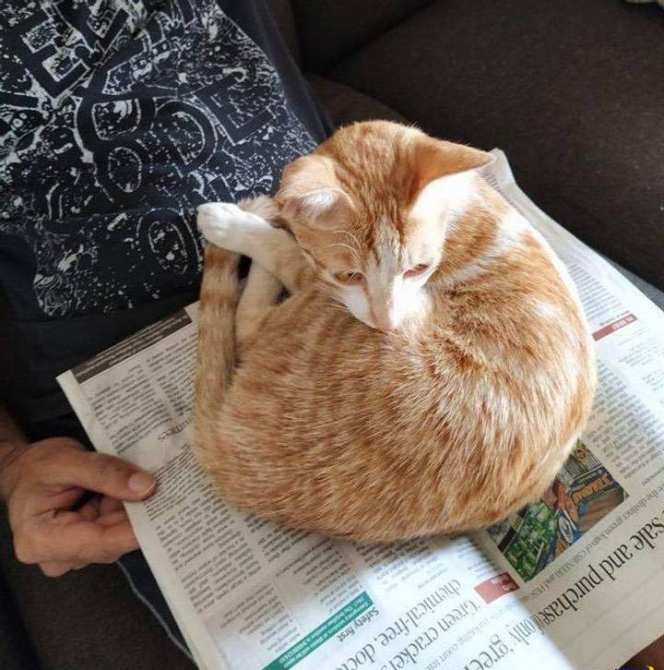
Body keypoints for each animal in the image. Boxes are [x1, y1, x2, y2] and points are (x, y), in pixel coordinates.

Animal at [194, 121, 596, 543]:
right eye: (350, 275)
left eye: (419, 268)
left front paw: (234, 224)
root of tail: (229, 463)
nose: (386, 323)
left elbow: (282, 250)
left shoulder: (316, 281)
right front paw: (281, 211)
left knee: (246, 325)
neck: (458, 210)